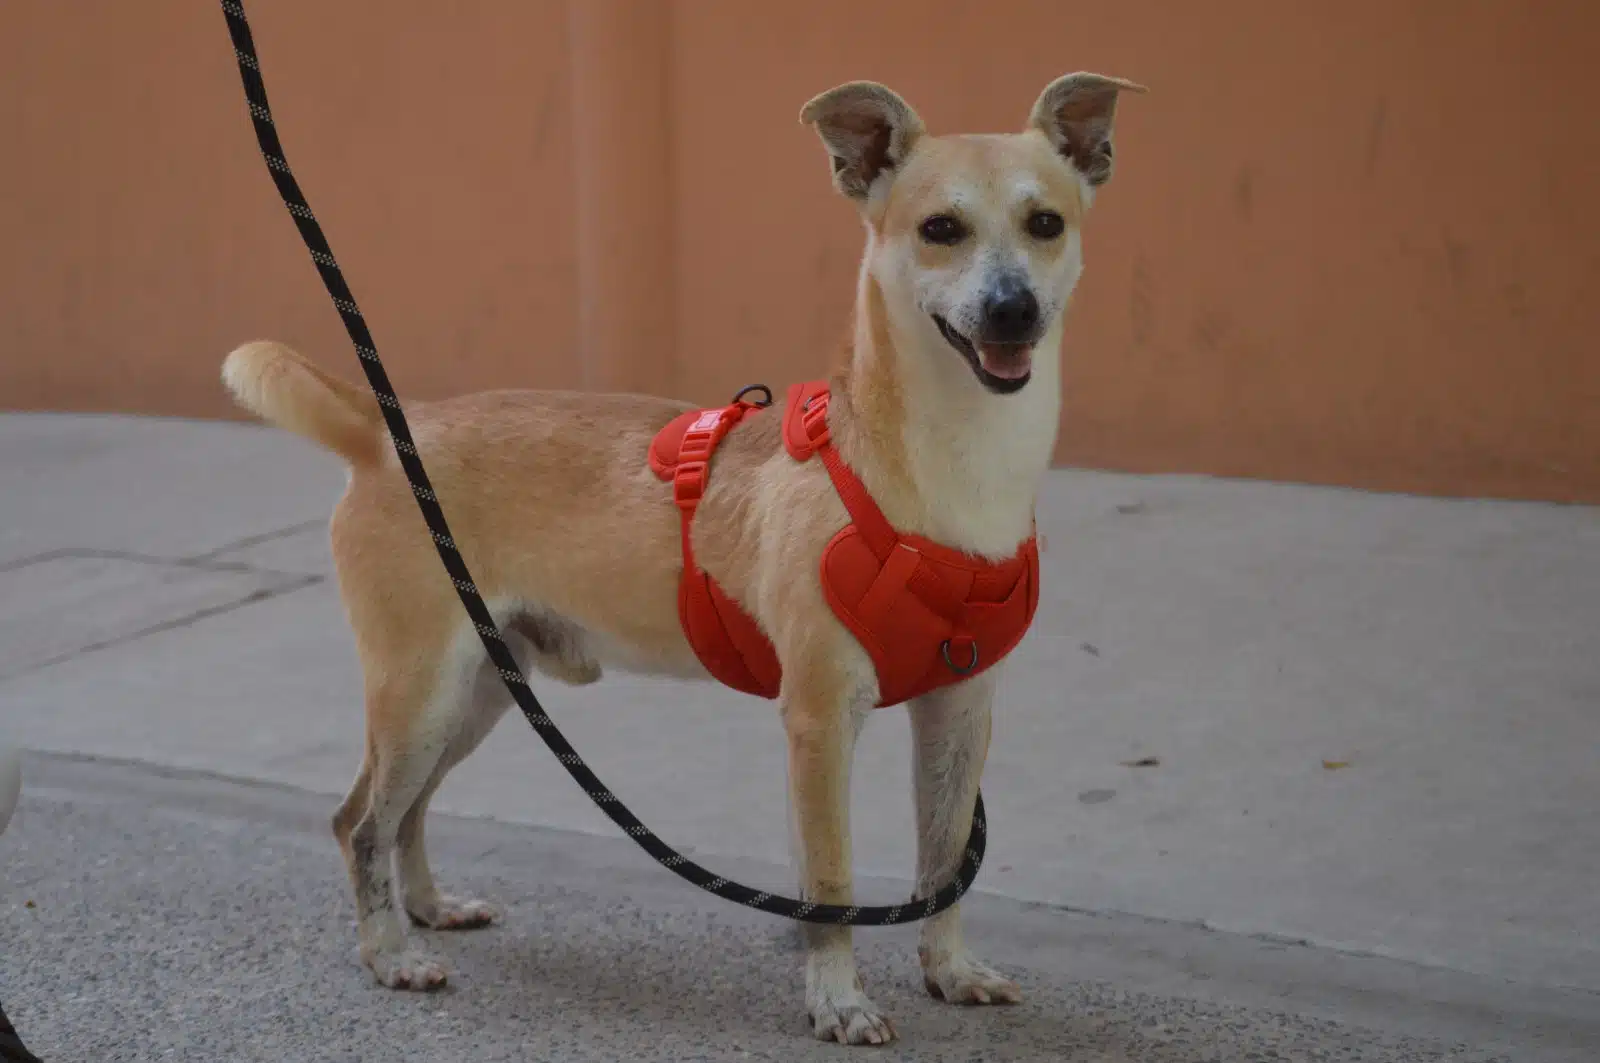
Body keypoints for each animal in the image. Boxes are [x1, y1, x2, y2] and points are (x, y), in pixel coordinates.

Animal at [222, 74, 1139, 1043]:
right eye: (940, 228)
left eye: (1046, 222)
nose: (1012, 309)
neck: (944, 476)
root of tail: (389, 430)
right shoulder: (818, 721)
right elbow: (832, 881)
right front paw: (839, 1000)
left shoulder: (959, 711)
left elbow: (944, 862)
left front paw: (950, 970)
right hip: (420, 691)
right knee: (360, 820)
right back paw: (390, 953)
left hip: (477, 692)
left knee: (409, 811)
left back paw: (428, 909)